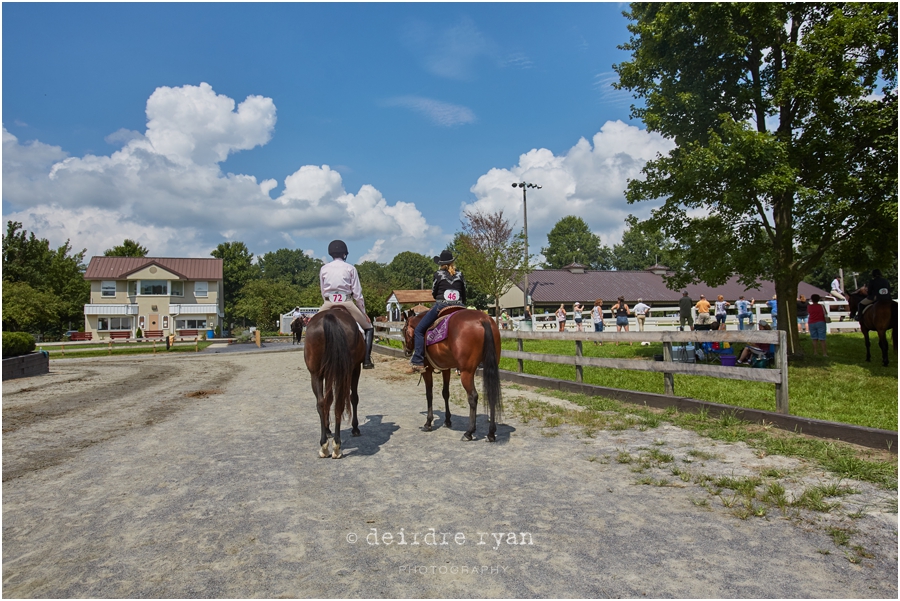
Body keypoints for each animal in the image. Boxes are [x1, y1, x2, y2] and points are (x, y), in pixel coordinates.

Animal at [304, 308, 364, 458]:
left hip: (317, 374)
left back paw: (326, 445)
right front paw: (355, 428)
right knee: (337, 402)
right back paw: (335, 445)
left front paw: (327, 430)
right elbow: (353, 398)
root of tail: (331, 316)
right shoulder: (356, 369)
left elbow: (328, 400)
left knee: (324, 403)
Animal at [402, 310, 502, 440]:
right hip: (491, 365)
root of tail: (483, 319)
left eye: (404, 330)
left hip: (467, 372)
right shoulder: (446, 369)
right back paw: (491, 433)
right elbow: (445, 393)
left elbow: (429, 395)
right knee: (491, 394)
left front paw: (428, 423)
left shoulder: (427, 371)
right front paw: (447, 420)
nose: (406, 351)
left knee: (473, 396)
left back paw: (469, 432)